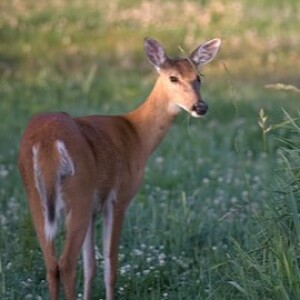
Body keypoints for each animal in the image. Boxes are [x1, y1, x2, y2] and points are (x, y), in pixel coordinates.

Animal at [18, 37, 220, 300]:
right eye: (173, 78)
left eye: (199, 77)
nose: (200, 107)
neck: (137, 136)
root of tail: (47, 141)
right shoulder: (119, 197)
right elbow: (110, 265)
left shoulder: (95, 208)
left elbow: (91, 265)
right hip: (79, 191)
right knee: (66, 263)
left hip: (36, 197)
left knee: (51, 264)